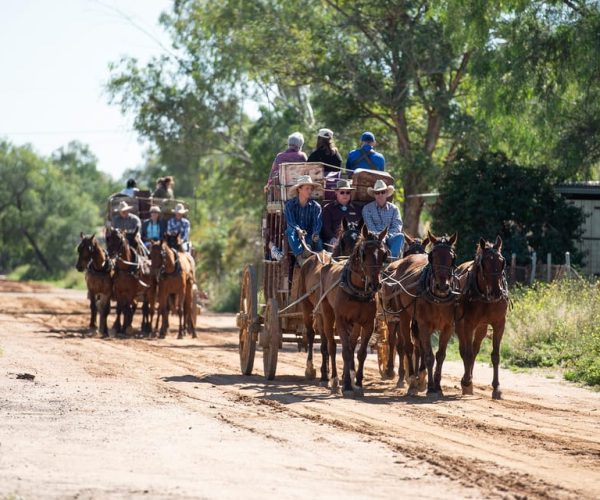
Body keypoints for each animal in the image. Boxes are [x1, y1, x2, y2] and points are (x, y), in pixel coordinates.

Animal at [318, 225, 390, 396]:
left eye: (384, 254)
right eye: (364, 254)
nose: (374, 285)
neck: (357, 289)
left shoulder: (368, 323)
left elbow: (360, 353)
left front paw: (357, 382)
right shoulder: (341, 320)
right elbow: (344, 351)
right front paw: (347, 385)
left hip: (356, 323)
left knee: (351, 345)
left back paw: (348, 376)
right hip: (327, 315)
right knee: (331, 346)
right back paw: (335, 380)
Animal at [380, 232, 460, 396]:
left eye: (452, 257)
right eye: (432, 256)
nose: (442, 286)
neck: (438, 298)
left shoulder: (448, 327)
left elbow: (440, 355)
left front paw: (437, 386)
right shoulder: (424, 324)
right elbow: (428, 355)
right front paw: (430, 387)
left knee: (416, 347)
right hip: (402, 315)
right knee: (406, 346)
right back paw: (410, 380)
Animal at [458, 237, 508, 398]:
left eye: (502, 261)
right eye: (483, 264)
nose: (497, 292)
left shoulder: (499, 324)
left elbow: (495, 355)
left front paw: (496, 387)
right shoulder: (468, 324)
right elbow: (467, 353)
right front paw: (466, 381)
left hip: (482, 327)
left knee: (475, 349)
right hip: (460, 325)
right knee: (464, 350)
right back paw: (467, 380)